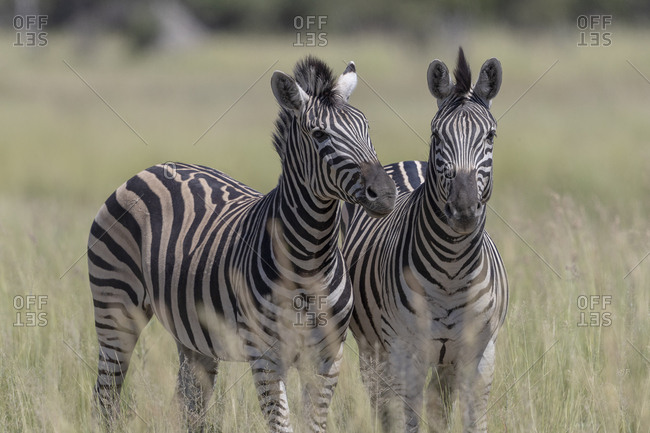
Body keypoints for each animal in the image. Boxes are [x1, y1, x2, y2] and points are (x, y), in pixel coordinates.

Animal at [87, 56, 396, 432]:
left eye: (367, 129)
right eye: (320, 135)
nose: (386, 193)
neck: (311, 259)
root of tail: (156, 167)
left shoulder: (328, 356)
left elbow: (314, 423)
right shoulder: (266, 356)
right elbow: (282, 424)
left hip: (191, 335)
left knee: (190, 404)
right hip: (115, 310)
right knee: (106, 396)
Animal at [341, 48, 508, 433]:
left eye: (491, 136)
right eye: (436, 135)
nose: (464, 208)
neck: (452, 272)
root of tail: (406, 162)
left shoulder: (480, 352)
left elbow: (469, 420)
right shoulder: (405, 353)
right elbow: (408, 420)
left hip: (443, 361)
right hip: (373, 348)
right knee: (381, 404)